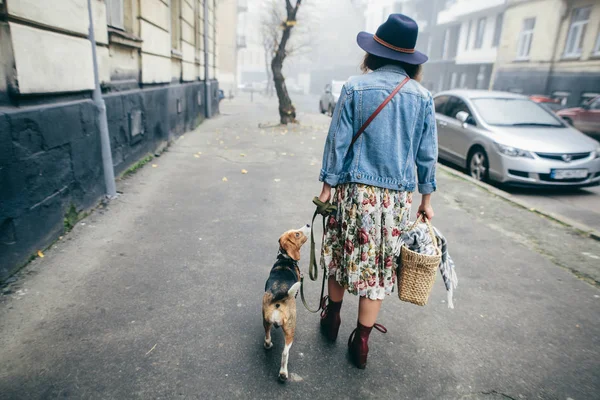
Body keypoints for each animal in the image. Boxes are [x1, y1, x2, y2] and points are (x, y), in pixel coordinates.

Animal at [262, 225, 310, 382]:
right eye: (297, 234)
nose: (308, 225)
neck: (285, 259)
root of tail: (279, 296)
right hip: (290, 330)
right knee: (284, 353)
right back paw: (283, 373)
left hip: (266, 321)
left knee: (267, 337)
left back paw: (269, 345)